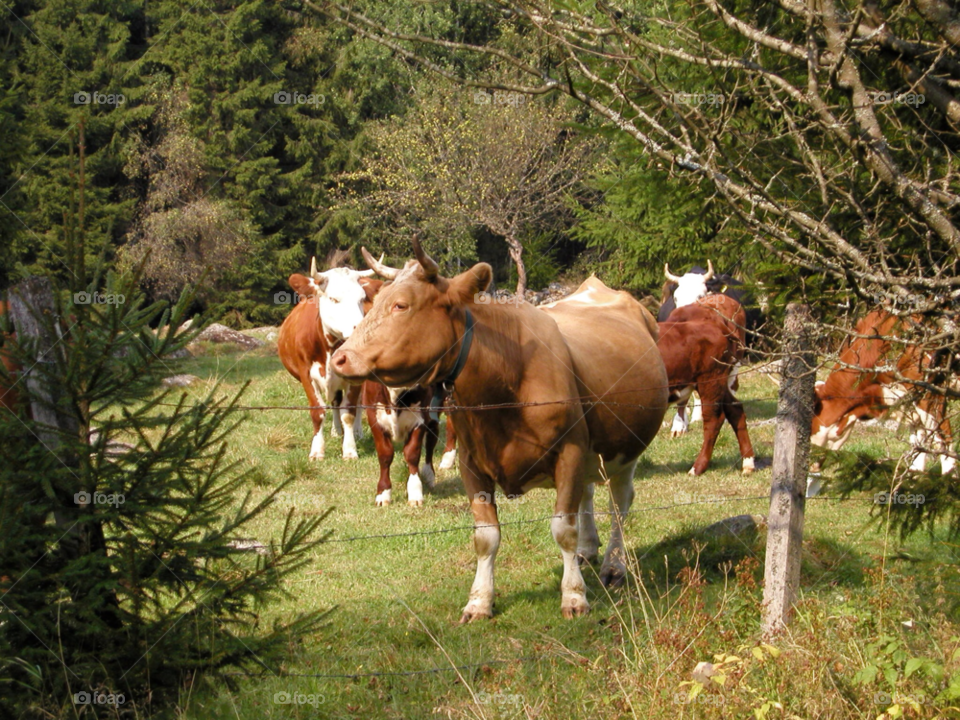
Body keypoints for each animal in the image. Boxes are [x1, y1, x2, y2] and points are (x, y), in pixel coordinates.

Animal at [277, 258, 379, 461]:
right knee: (335, 403)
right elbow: (318, 411)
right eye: (333, 299)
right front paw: (317, 451)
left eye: (362, 299)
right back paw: (336, 431)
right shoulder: (306, 374)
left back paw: (356, 432)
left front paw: (350, 450)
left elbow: (349, 411)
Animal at [333, 239, 668, 621]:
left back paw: (614, 565)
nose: (340, 358)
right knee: (587, 494)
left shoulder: (569, 452)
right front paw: (479, 600)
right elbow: (486, 536)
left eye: (401, 305)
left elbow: (563, 529)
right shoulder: (472, 462)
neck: (505, 379)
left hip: (625, 450)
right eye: (374, 301)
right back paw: (587, 550)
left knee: (619, 504)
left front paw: (574, 596)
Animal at [658, 299, 755, 475]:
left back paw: (697, 467)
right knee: (735, 410)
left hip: (710, 381)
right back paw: (748, 462)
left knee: (713, 419)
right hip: (720, 382)